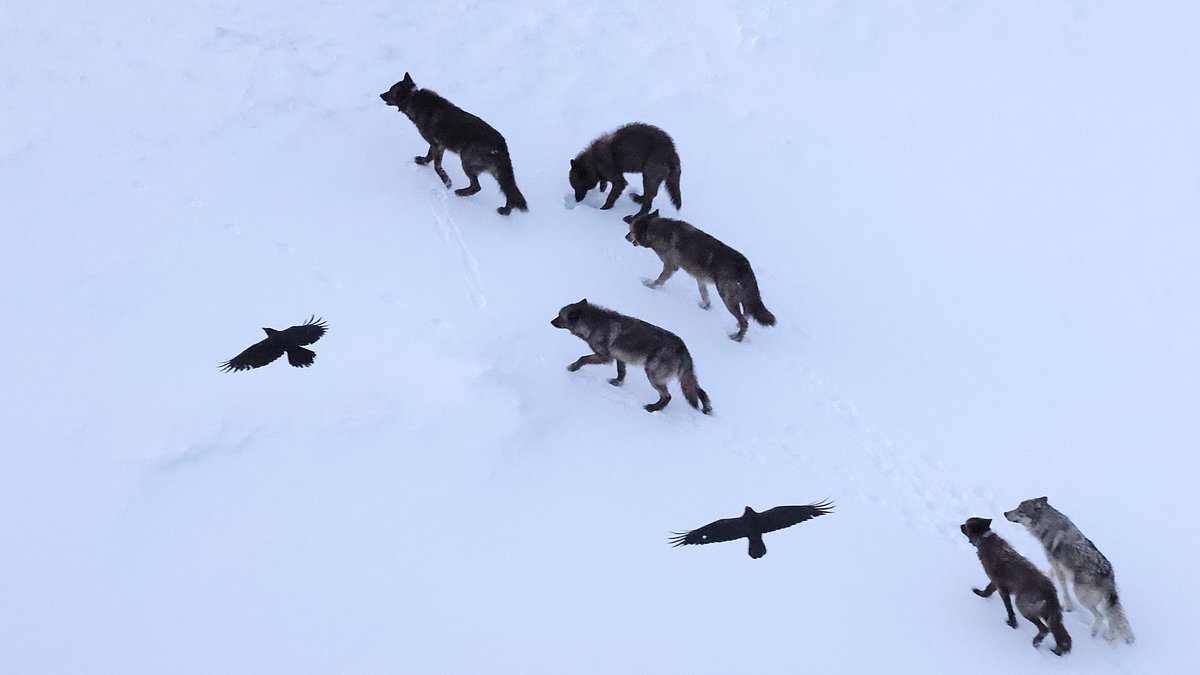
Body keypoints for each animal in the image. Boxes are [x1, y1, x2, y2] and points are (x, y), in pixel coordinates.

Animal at [380, 73, 527, 215]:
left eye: (391, 91)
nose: (380, 94)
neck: (413, 98)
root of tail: (501, 145)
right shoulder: (437, 145)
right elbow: (429, 157)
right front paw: (422, 162)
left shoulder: (438, 146)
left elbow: (437, 166)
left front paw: (447, 181)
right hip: (499, 175)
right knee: (510, 193)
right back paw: (505, 211)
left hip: (466, 161)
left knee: (477, 187)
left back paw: (460, 192)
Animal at [550, 299, 711, 414]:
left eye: (559, 316)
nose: (550, 321)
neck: (594, 324)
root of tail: (683, 348)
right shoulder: (620, 358)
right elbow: (621, 373)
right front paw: (616, 384)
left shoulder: (605, 357)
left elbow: (583, 358)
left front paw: (572, 368)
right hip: (684, 379)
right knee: (701, 392)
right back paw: (707, 410)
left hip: (652, 375)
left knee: (667, 396)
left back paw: (652, 409)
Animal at [626, 210, 776, 342]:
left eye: (631, 229)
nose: (625, 237)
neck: (656, 230)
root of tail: (745, 266)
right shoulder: (699, 278)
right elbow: (704, 293)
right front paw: (705, 306)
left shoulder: (671, 266)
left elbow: (659, 280)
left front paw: (649, 285)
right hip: (740, 298)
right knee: (747, 313)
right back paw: (737, 327)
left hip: (727, 297)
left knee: (745, 321)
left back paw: (737, 338)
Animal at [960, 517, 1072, 656]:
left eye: (967, 524)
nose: (960, 525)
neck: (985, 539)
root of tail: (1050, 591)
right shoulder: (995, 584)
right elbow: (988, 591)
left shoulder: (1001, 588)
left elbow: (1008, 609)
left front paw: (1012, 624)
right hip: (1048, 614)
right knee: (1060, 634)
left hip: (1023, 605)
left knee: (1045, 629)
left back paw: (1036, 642)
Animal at [1004, 497, 1135, 644]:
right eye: (1017, 508)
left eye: (1020, 511)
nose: (1005, 513)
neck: (1048, 526)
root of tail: (1107, 573)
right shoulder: (1056, 565)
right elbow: (1050, 574)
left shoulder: (1058, 568)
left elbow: (1064, 590)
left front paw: (1068, 607)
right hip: (1107, 601)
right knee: (1115, 619)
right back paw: (1111, 637)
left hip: (1081, 595)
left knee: (1102, 616)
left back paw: (1094, 632)